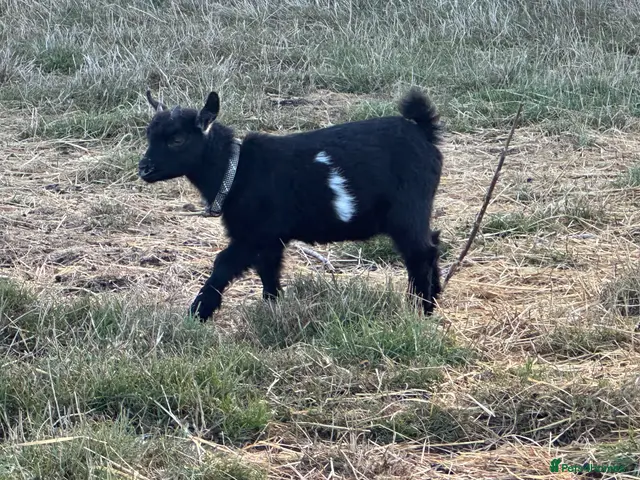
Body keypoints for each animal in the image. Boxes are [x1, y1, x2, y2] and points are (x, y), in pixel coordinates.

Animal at [139, 88, 444, 321]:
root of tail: (424, 132)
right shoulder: (270, 240)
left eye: (177, 139)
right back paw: (434, 296)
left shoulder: (254, 234)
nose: (144, 168)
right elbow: (268, 271)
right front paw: (273, 308)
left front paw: (198, 313)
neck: (237, 169)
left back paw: (422, 309)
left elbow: (223, 264)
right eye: (148, 135)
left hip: (407, 210)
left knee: (420, 253)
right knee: (433, 242)